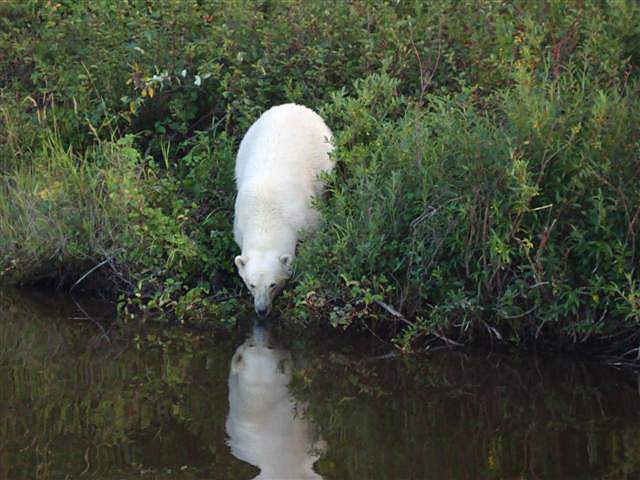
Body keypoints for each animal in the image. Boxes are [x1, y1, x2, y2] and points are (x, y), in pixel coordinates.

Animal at [233, 103, 334, 318]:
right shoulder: (239, 223)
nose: (262, 310)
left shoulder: (306, 215)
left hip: (323, 152)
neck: (266, 214)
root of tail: (292, 106)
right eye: (251, 285)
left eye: (272, 284)